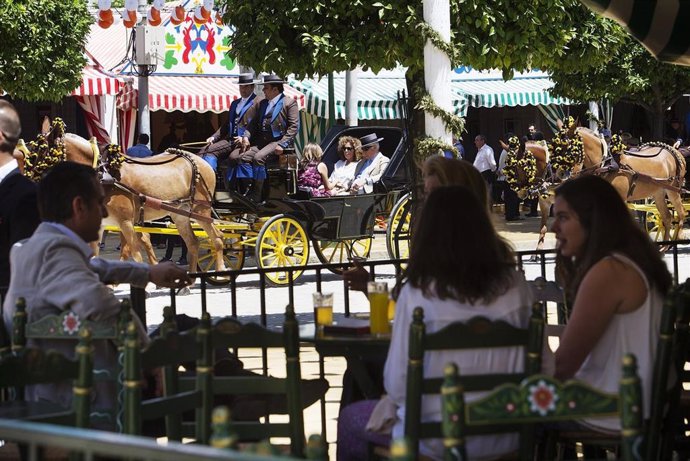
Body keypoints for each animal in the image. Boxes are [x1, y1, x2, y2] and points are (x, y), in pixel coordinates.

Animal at [60, 133, 224, 272]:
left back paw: (220, 270)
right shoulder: (102, 224)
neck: (104, 174)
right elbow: (96, 256)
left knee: (217, 238)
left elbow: (135, 253)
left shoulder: (125, 221)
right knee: (193, 243)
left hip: (200, 209)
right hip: (180, 214)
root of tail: (200, 160)